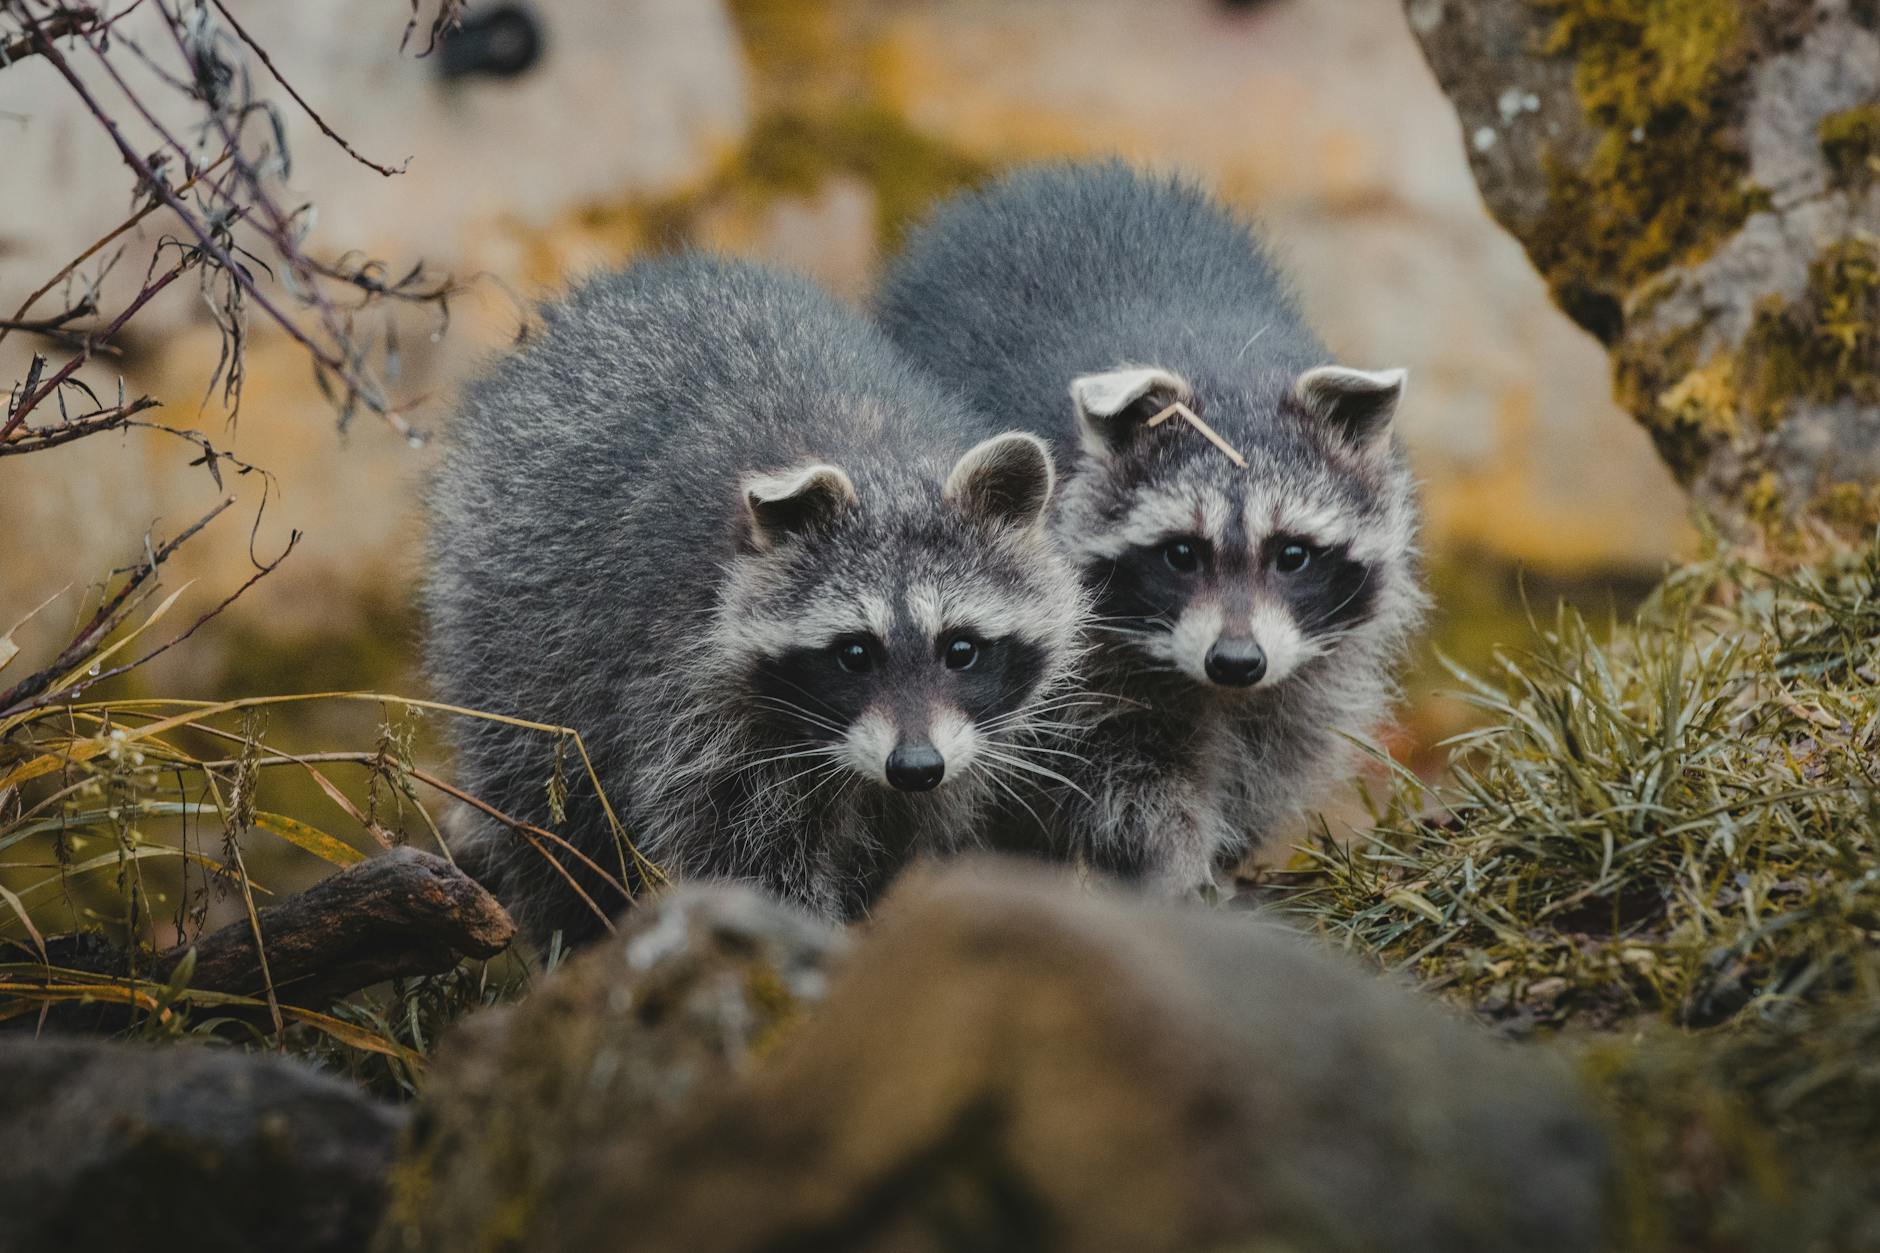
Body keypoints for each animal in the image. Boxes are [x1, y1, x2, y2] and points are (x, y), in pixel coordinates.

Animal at [423, 255, 1085, 944]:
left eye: (960, 649)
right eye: (854, 653)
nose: (914, 766)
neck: (879, 458)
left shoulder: (964, 746)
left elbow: (912, 836)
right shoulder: (689, 690)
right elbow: (745, 856)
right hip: (515, 620)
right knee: (548, 809)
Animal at [875, 162, 1426, 896]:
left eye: (1293, 554)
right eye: (1182, 553)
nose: (1236, 661)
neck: (1223, 364)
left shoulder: (1311, 658)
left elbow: (1277, 747)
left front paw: (1226, 849)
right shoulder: (1077, 660)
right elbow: (1122, 774)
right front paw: (1171, 862)